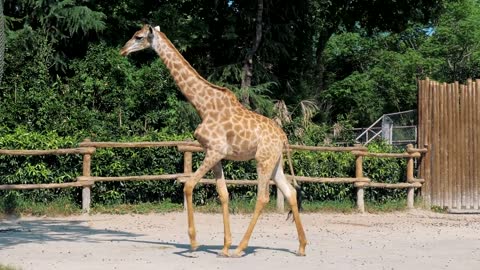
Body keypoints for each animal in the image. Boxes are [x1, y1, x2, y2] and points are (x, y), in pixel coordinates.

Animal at [121, 24, 308, 256]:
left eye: (138, 37)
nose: (123, 50)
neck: (203, 106)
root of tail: (283, 137)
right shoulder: (215, 154)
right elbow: (223, 194)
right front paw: (225, 246)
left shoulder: (215, 150)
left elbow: (188, 185)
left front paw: (194, 243)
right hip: (275, 162)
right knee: (290, 192)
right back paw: (301, 246)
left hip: (263, 160)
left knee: (263, 197)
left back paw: (241, 248)